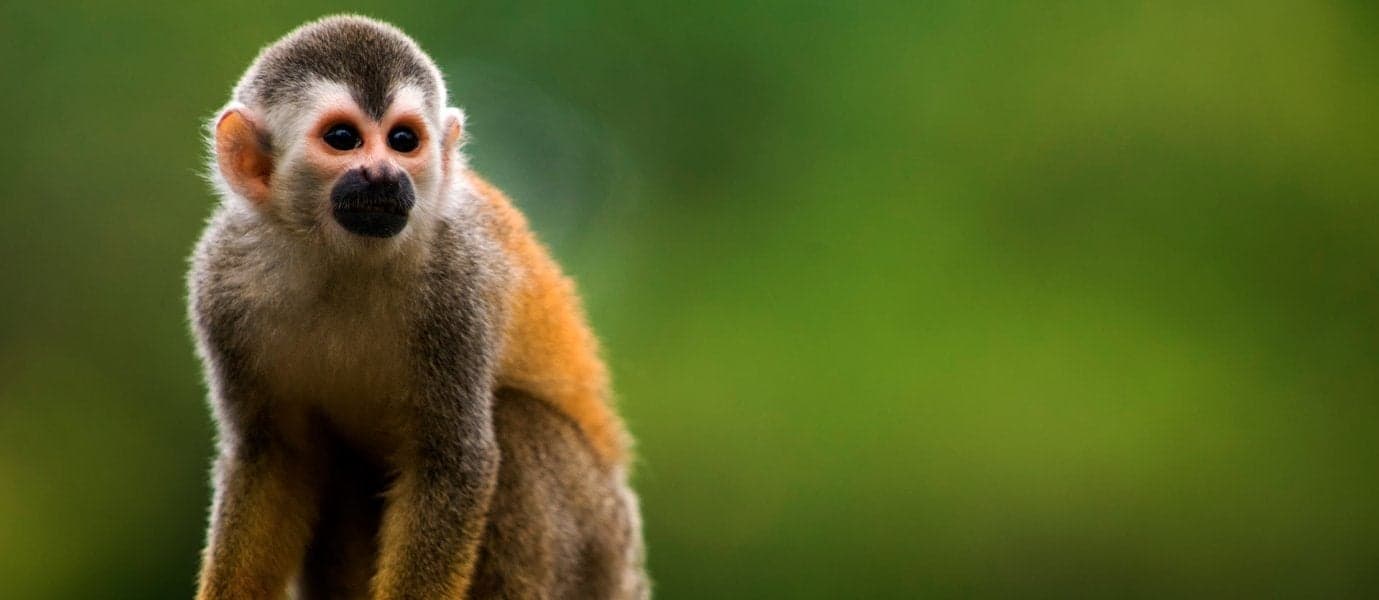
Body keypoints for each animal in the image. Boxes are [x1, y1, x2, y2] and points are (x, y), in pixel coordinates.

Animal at [188, 15, 647, 600]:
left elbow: (452, 462)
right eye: (343, 139)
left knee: (517, 424)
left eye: (403, 141)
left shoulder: (457, 282)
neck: (342, 257)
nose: (385, 175)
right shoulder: (220, 282)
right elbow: (274, 456)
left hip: (600, 539)